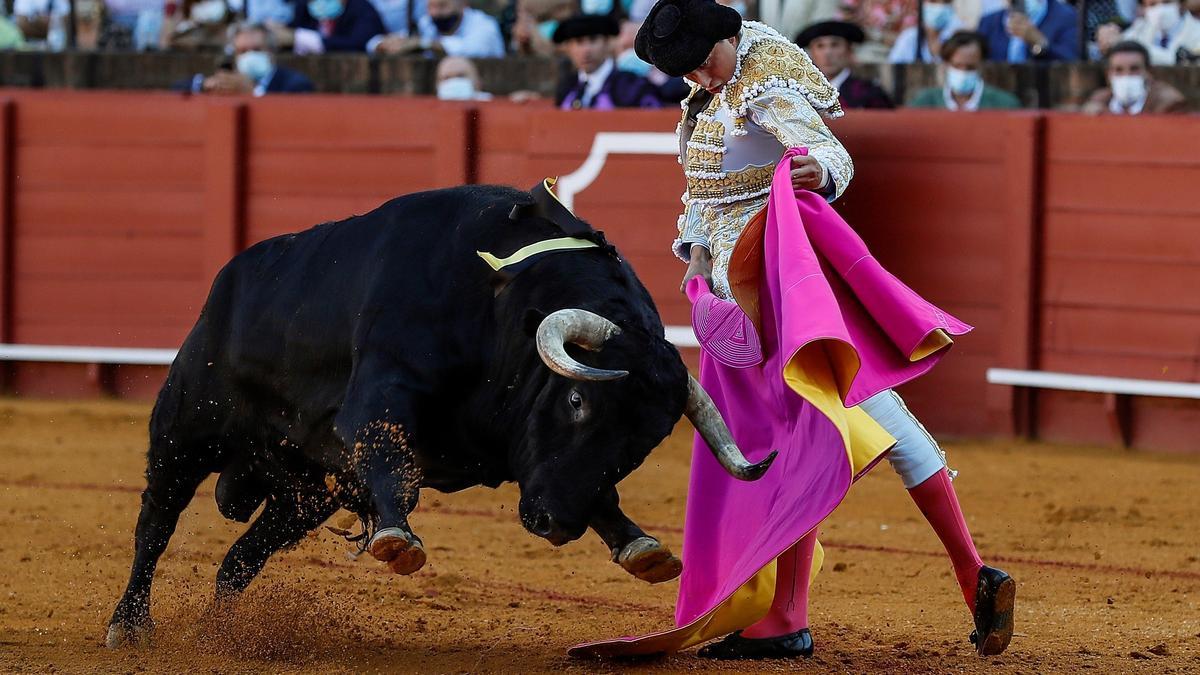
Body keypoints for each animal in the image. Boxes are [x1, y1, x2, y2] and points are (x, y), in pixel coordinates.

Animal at [108, 183, 772, 648]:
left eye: (644, 443)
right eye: (578, 401)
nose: (557, 524)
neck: (504, 304)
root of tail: (232, 277)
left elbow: (594, 490)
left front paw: (642, 547)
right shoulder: (382, 390)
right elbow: (390, 456)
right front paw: (397, 539)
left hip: (308, 492)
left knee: (240, 560)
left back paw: (216, 633)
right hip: (186, 428)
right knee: (155, 524)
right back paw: (128, 625)